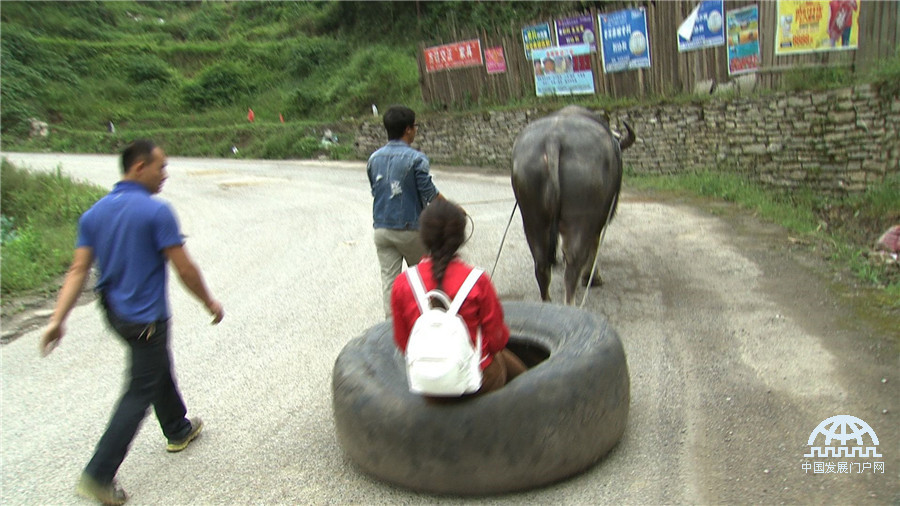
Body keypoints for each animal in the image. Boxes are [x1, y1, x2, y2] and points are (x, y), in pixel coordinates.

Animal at [512, 105, 632, 304]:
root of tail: (553, 139)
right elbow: (594, 245)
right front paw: (593, 277)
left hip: (532, 218)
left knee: (541, 264)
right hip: (581, 217)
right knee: (573, 265)